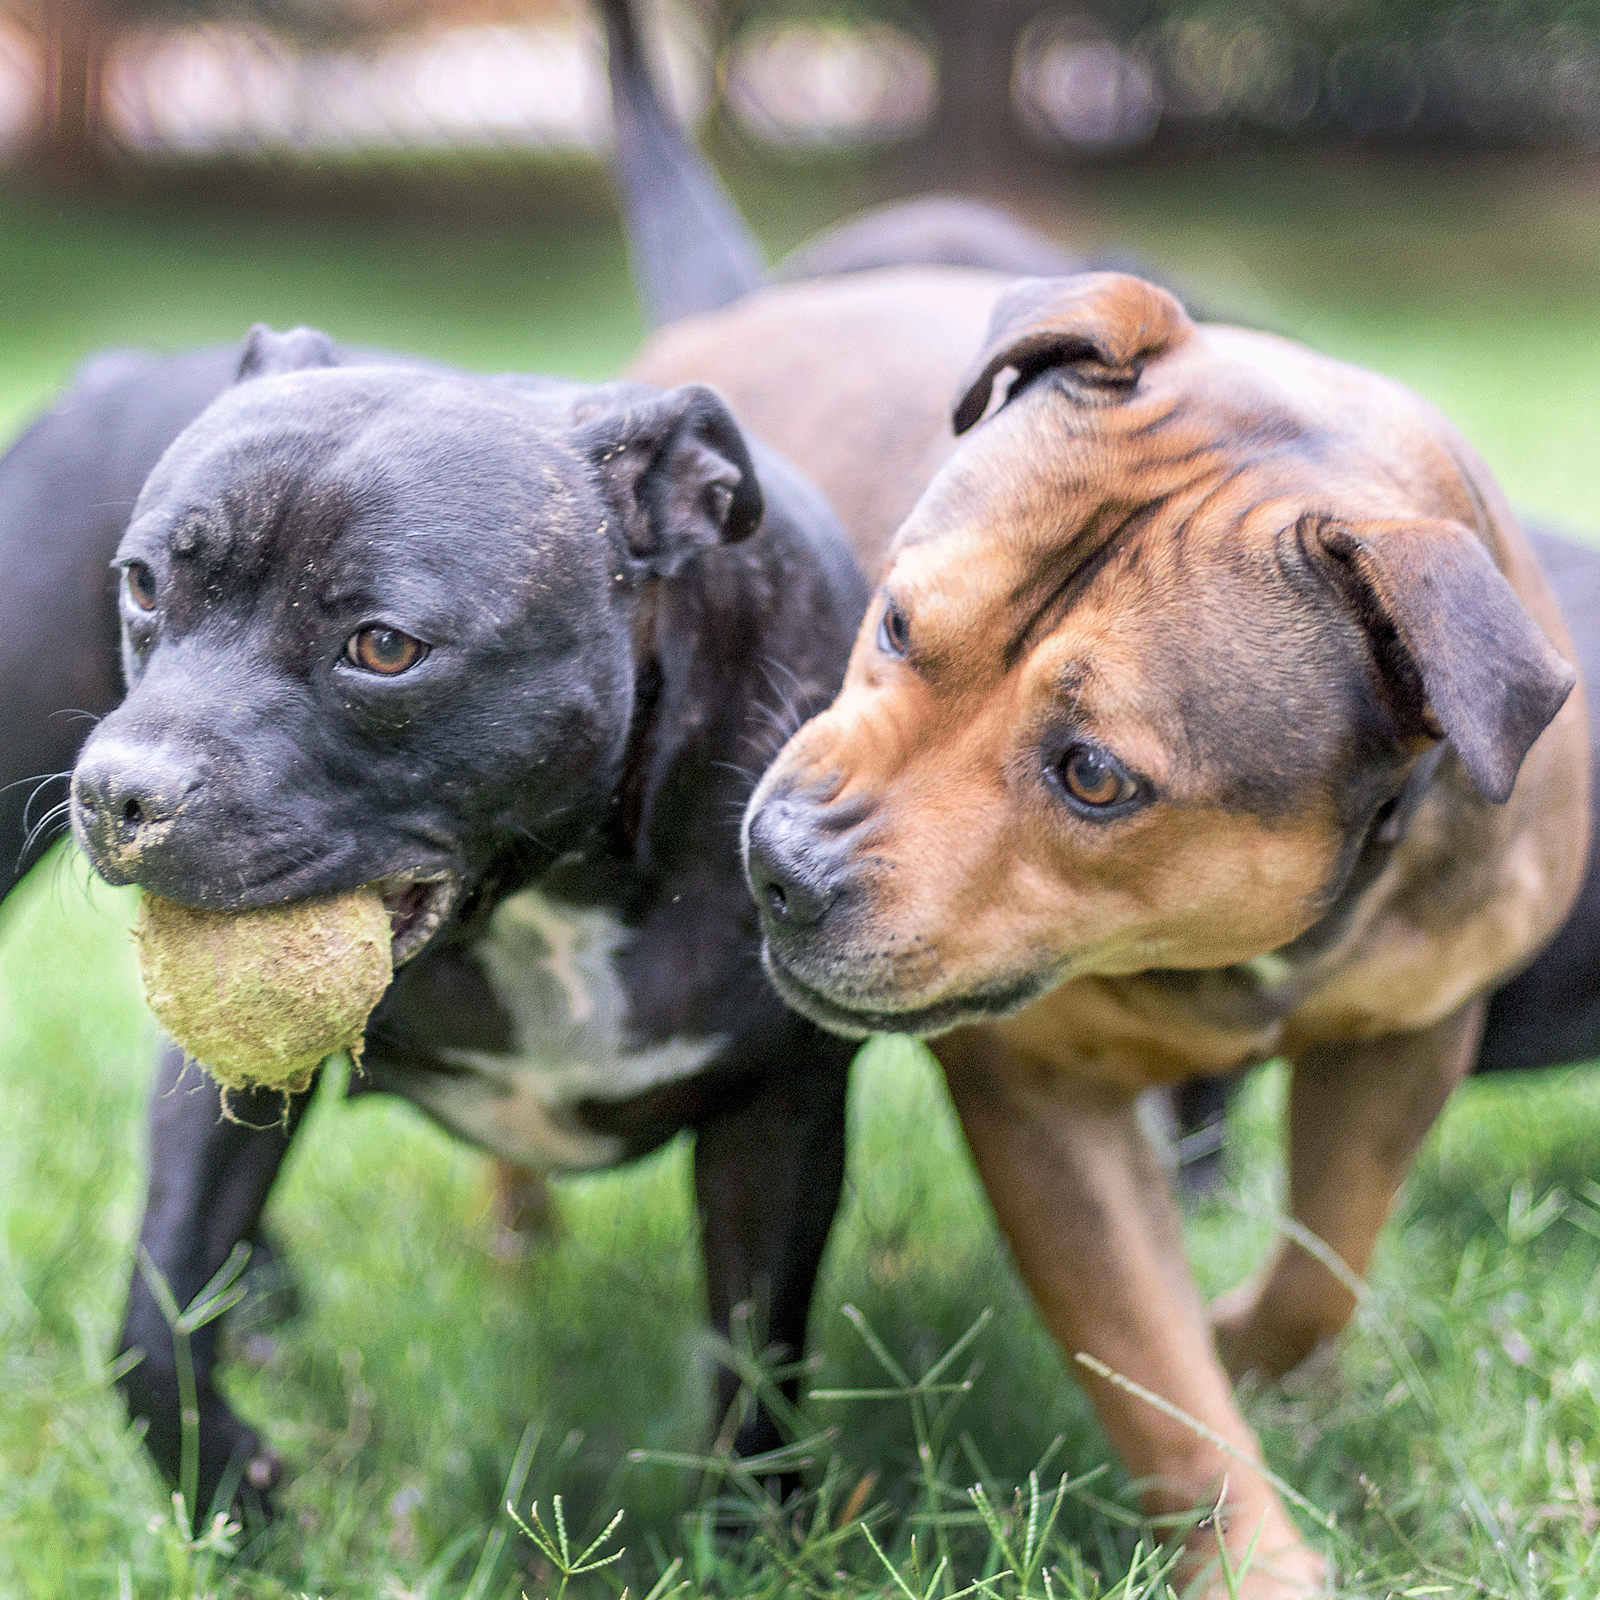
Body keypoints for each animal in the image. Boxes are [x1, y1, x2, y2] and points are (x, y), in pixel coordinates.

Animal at [59, 321, 864, 1510]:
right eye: (145, 584)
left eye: (385, 647)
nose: (119, 792)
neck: (550, 897)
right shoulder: (229, 1069)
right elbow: (153, 1313)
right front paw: (233, 1489)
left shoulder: (780, 1117)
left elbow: (756, 1378)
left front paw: (749, 1533)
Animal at [636, 268, 1587, 1593]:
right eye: (896, 621)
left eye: (1092, 775)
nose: (781, 868)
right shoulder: (1045, 1104)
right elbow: (1152, 1370)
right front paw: (1250, 1559)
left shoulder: (1409, 1035)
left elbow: (1326, 1259)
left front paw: (1247, 1345)